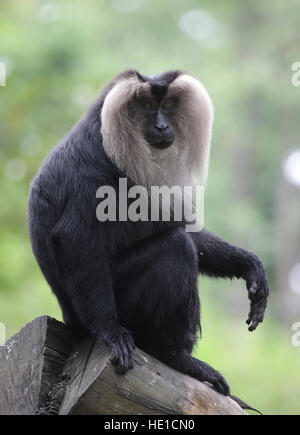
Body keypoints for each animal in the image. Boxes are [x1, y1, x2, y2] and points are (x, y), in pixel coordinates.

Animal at [28, 69, 270, 398]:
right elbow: (76, 239)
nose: (162, 126)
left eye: (166, 106)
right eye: (145, 108)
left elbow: (179, 224)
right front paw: (110, 331)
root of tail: (70, 319)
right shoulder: (90, 169)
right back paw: (176, 357)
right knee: (176, 248)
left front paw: (249, 265)